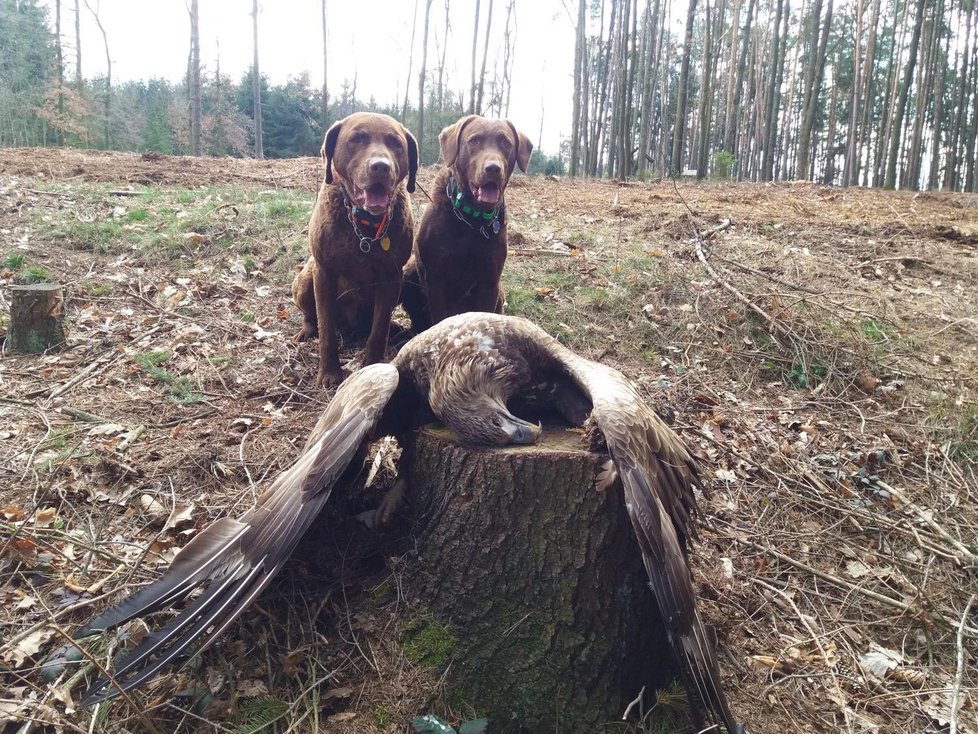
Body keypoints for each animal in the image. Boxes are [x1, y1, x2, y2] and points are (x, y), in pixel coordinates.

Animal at [288, 112, 414, 388]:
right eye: (357, 139)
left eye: (395, 143)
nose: (381, 167)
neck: (364, 227)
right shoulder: (324, 272)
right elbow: (326, 329)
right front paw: (329, 372)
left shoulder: (392, 275)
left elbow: (378, 329)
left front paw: (372, 365)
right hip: (305, 279)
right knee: (312, 317)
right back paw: (306, 330)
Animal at [400, 116, 528, 332]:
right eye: (474, 140)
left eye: (506, 143)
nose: (493, 168)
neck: (472, 221)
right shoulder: (436, 278)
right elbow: (439, 316)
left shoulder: (490, 282)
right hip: (410, 271)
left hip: (500, 292)